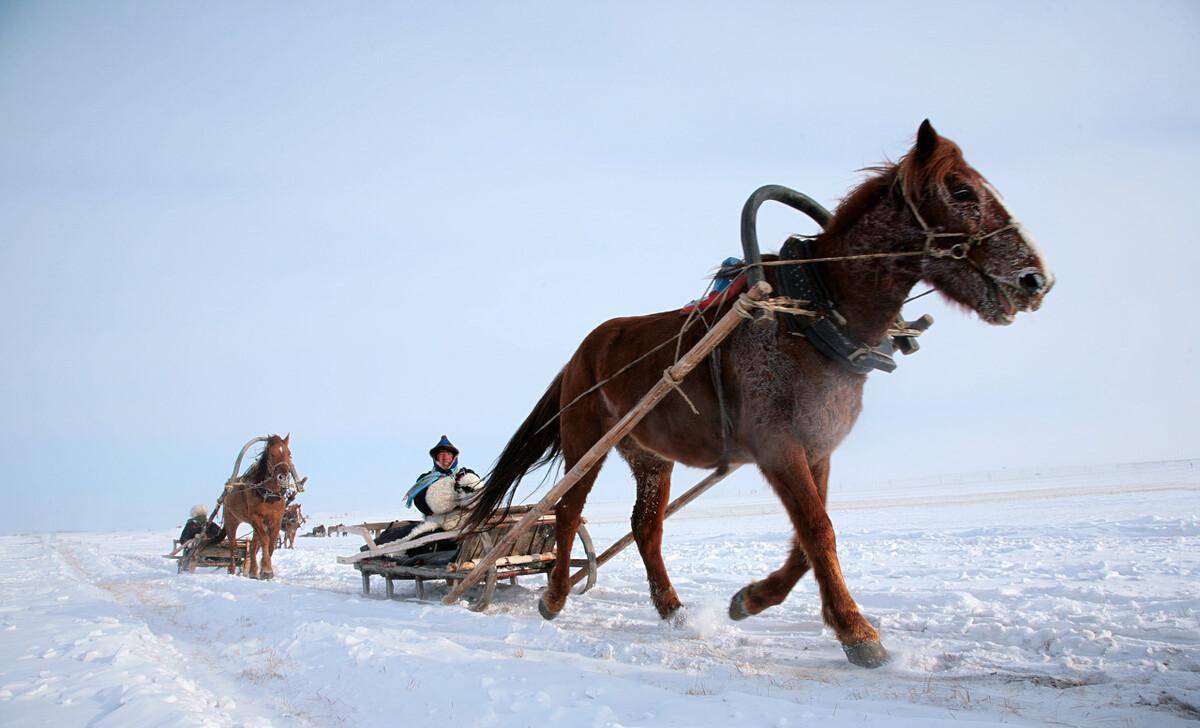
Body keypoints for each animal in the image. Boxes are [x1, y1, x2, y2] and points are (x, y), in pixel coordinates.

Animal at [223, 436, 302, 578]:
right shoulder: (256, 518)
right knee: (233, 545)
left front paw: (262, 569)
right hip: (231, 519)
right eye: (272, 454)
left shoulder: (276, 520)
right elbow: (265, 540)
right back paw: (231, 569)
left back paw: (252, 571)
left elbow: (271, 542)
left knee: (253, 546)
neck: (269, 495)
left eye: (289, 454)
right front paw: (266, 570)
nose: (283, 477)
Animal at [465, 121, 1051, 671]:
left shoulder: (816, 448)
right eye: (962, 191)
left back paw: (672, 608)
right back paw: (555, 597)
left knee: (645, 527)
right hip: (588, 440)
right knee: (567, 512)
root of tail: (580, 353)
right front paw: (857, 633)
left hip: (650, 457)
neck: (814, 318)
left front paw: (751, 599)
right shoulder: (778, 447)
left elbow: (809, 540)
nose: (1034, 279)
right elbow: (819, 530)